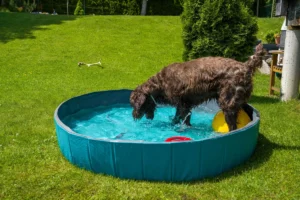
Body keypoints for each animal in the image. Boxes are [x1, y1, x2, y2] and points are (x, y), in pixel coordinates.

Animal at [129, 43, 264, 131]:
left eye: (134, 104)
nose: (134, 115)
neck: (160, 84)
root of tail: (246, 66)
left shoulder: (183, 104)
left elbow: (181, 118)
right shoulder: (184, 103)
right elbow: (180, 118)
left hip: (228, 102)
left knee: (232, 125)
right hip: (239, 100)